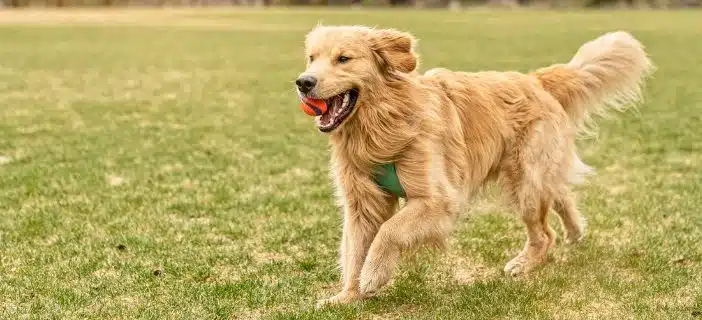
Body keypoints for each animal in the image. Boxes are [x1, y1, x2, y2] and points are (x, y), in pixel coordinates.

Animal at [296, 23, 656, 306]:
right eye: (312, 58)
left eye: (344, 58)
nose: (304, 82)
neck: (382, 125)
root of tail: (535, 80)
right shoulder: (361, 204)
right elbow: (355, 249)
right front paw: (348, 296)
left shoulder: (437, 200)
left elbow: (389, 231)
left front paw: (373, 276)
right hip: (535, 176)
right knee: (560, 194)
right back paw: (576, 231)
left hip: (524, 181)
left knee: (544, 233)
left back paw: (525, 263)